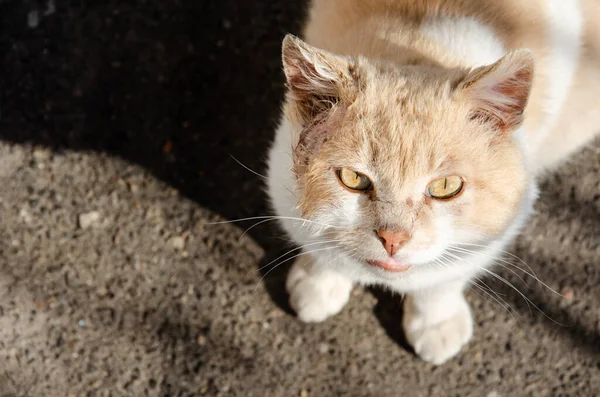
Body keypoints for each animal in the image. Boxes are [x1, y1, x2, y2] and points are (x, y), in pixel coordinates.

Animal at [266, 0, 600, 364]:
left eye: (446, 187)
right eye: (354, 179)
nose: (393, 239)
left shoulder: (496, 228)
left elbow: (443, 280)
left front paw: (436, 324)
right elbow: (322, 246)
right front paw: (318, 284)